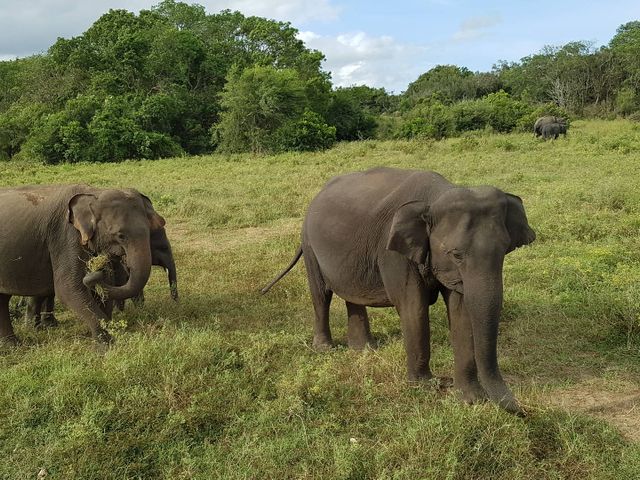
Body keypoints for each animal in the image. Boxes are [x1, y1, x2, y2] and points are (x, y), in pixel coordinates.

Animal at [0, 184, 168, 344]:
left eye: (149, 231)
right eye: (120, 235)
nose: (94, 271)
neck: (94, 193)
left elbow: (102, 288)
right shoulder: (65, 236)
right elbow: (67, 289)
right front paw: (107, 346)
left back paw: (13, 344)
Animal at [260, 167, 536, 414]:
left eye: (505, 251)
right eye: (456, 254)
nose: (523, 411)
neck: (435, 197)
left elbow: (461, 312)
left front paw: (471, 400)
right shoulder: (393, 253)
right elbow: (413, 306)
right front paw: (425, 387)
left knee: (352, 294)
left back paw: (364, 350)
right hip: (309, 244)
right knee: (320, 294)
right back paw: (325, 349)